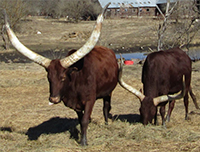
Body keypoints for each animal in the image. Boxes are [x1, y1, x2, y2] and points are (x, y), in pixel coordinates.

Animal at [3, 3, 117, 146]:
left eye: (63, 78)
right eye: (48, 78)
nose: (53, 99)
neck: (75, 80)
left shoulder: (89, 100)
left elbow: (85, 120)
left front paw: (83, 142)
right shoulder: (76, 106)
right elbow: (81, 120)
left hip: (108, 92)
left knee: (106, 107)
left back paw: (106, 123)